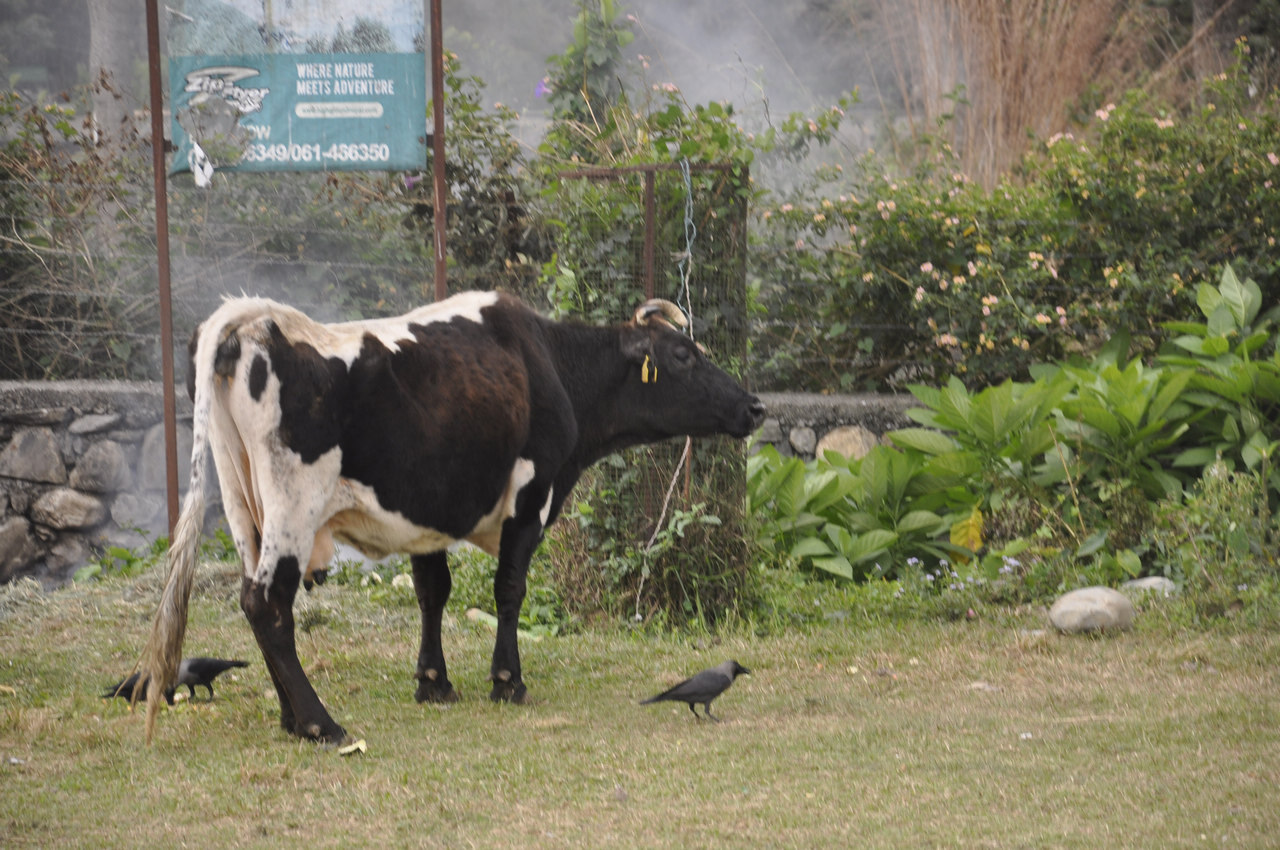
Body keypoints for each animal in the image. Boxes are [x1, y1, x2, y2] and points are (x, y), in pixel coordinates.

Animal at [135, 289, 762, 742]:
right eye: (683, 356)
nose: (754, 405)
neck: (550, 363)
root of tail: (254, 321)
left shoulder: (426, 512)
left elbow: (432, 591)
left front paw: (434, 682)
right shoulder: (530, 497)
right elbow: (509, 588)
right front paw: (507, 680)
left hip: (245, 509)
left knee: (255, 603)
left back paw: (292, 719)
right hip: (293, 506)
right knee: (268, 604)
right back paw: (319, 723)